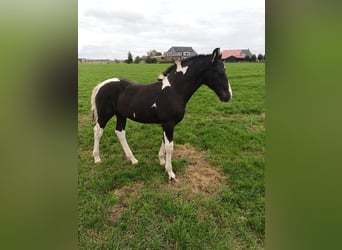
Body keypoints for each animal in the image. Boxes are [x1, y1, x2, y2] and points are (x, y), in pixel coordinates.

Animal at [91, 47, 232, 180]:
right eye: (220, 72)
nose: (228, 96)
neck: (175, 90)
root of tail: (101, 85)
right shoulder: (168, 123)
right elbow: (170, 146)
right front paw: (170, 173)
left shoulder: (166, 124)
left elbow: (164, 142)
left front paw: (161, 160)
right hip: (104, 115)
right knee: (98, 131)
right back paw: (97, 158)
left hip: (121, 115)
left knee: (120, 132)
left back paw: (133, 159)